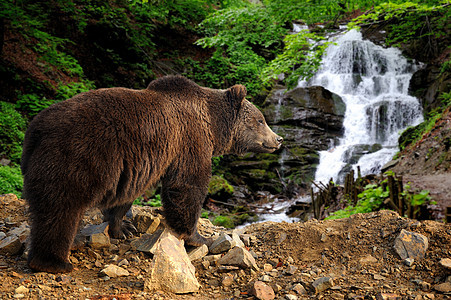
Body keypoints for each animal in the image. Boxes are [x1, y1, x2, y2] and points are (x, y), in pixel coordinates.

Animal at [22, 75, 282, 274]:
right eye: (260, 119)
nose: (278, 139)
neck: (213, 125)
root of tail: (37, 129)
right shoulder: (189, 140)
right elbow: (187, 186)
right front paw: (198, 237)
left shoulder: (135, 164)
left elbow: (125, 196)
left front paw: (123, 227)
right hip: (77, 157)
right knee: (61, 209)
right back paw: (54, 262)